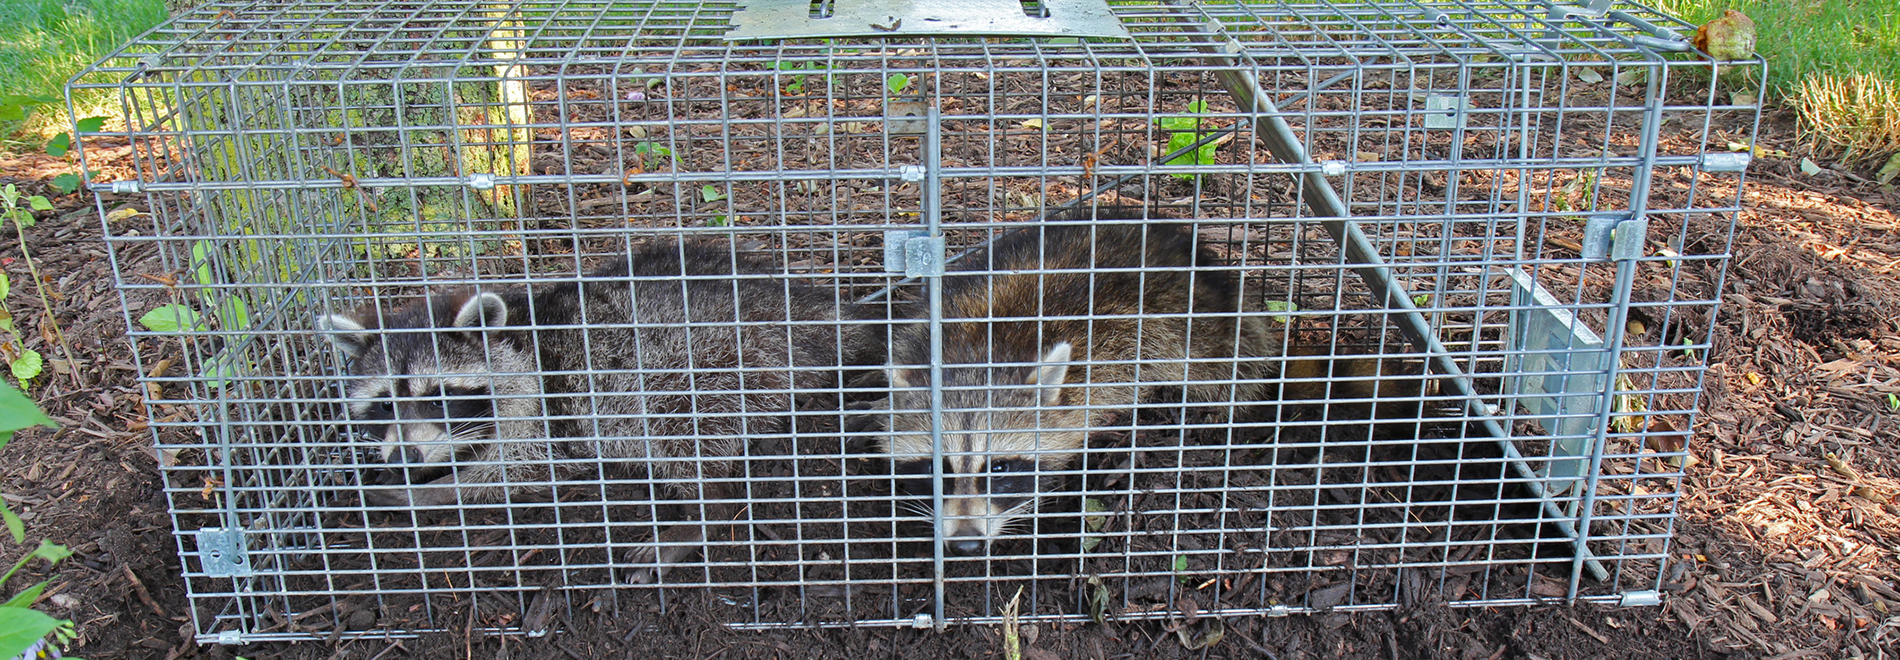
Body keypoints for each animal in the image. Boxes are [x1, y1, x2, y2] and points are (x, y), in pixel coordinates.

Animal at [317, 241, 869, 580]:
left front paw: (425, 492)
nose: (403, 459)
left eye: (438, 395)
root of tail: (807, 308)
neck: (519, 337)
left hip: (714, 364)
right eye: (384, 404)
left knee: (683, 433)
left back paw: (701, 516)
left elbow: (507, 471)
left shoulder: (544, 413)